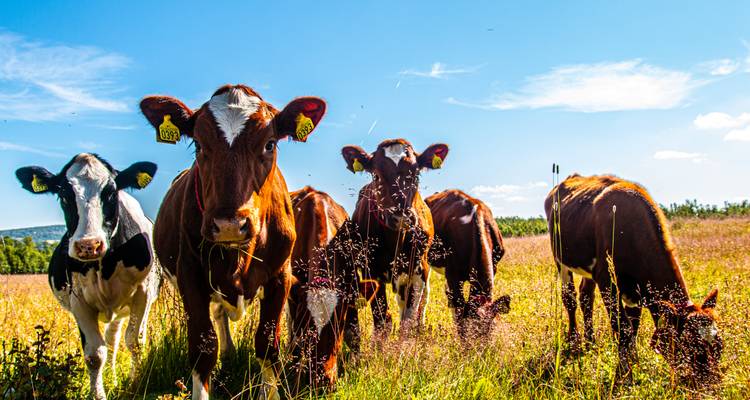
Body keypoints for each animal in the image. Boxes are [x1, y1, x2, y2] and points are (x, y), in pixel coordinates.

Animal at [15, 153, 160, 400]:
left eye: (111, 192)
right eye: (64, 195)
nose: (88, 245)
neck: (104, 265)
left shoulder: (143, 292)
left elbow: (135, 342)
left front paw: (136, 383)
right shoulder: (78, 301)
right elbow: (94, 355)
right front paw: (99, 393)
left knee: (116, 338)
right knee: (110, 342)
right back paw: (112, 378)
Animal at [140, 84, 326, 400]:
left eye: (270, 144)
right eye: (198, 145)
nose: (229, 224)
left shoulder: (280, 276)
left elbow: (268, 344)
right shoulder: (191, 276)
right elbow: (203, 347)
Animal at [286, 186, 378, 392]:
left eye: (340, 323)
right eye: (307, 325)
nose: (323, 381)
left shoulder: (351, 289)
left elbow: (354, 335)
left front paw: (356, 366)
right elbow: (296, 341)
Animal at [340, 139, 448, 342]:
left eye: (416, 174)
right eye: (376, 175)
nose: (401, 216)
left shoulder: (418, 269)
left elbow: (409, 319)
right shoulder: (371, 270)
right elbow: (382, 318)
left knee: (421, 302)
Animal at [544, 174, 722, 384]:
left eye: (719, 345)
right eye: (690, 345)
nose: (712, 384)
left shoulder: (633, 290)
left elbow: (632, 326)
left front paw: (633, 362)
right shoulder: (608, 282)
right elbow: (623, 330)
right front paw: (624, 374)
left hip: (590, 271)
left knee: (586, 297)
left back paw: (590, 341)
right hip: (561, 259)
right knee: (569, 298)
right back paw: (574, 341)